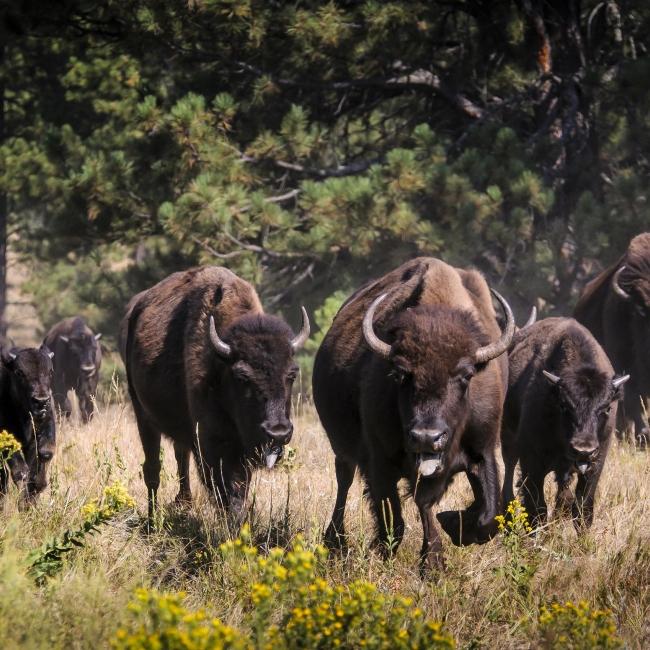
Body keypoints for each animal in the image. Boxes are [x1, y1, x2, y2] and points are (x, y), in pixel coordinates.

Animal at [0, 344, 55, 502]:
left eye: (50, 371)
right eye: (19, 372)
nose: (41, 401)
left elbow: (45, 453)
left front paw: (38, 486)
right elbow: (21, 471)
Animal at [124, 266, 312, 520]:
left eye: (292, 374)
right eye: (242, 377)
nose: (278, 432)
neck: (221, 365)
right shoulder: (214, 445)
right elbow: (228, 490)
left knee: (180, 456)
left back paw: (183, 502)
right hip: (143, 415)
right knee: (152, 469)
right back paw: (153, 521)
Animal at [312, 258, 520, 568]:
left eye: (466, 375)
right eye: (400, 374)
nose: (426, 437)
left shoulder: (483, 450)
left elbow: (487, 517)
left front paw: (450, 530)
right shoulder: (379, 462)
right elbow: (394, 520)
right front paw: (423, 560)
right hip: (343, 450)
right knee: (344, 482)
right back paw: (335, 542)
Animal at [498, 316, 624, 528]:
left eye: (606, 408)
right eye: (564, 406)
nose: (583, 450)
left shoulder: (596, 463)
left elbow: (582, 509)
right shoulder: (532, 462)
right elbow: (537, 508)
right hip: (508, 440)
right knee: (508, 478)